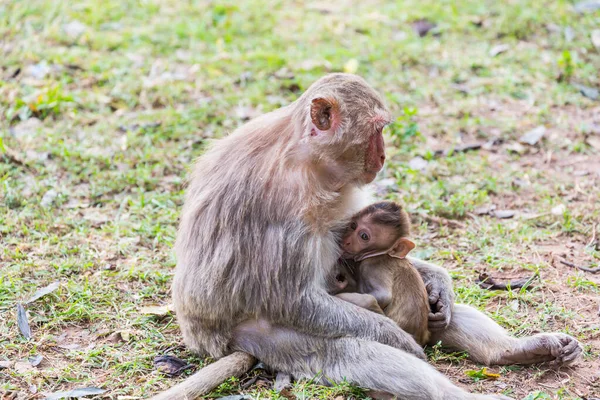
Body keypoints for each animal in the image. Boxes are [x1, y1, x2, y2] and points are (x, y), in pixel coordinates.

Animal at [338, 202, 432, 346]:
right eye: (353, 225)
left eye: (364, 236)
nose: (346, 240)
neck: (380, 253)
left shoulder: (371, 267)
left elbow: (383, 295)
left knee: (370, 300)